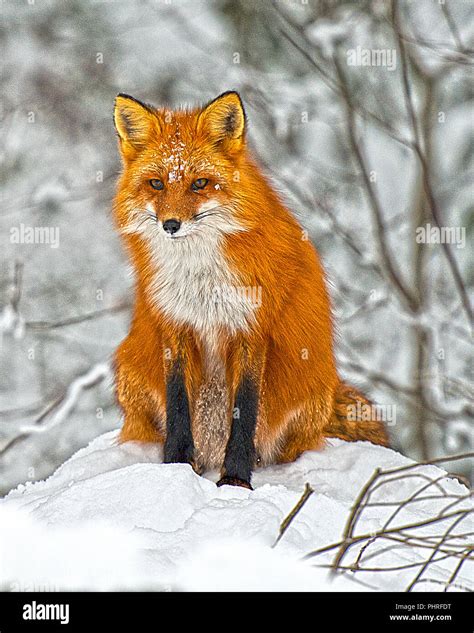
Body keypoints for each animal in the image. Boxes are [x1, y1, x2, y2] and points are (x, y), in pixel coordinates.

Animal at [112, 90, 388, 488]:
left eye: (199, 183)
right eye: (157, 184)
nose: (170, 225)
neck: (201, 277)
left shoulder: (251, 330)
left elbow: (245, 412)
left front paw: (236, 480)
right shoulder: (175, 326)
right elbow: (179, 408)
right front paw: (176, 467)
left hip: (310, 391)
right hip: (128, 368)